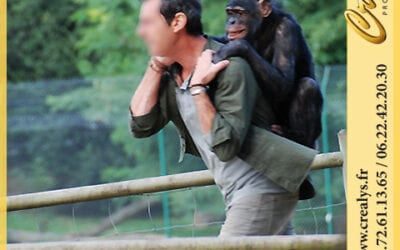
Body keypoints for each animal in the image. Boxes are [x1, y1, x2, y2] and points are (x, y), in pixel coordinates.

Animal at [212, 0, 322, 199]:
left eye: (239, 13)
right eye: (230, 13)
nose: (231, 21)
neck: (262, 29)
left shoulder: (287, 30)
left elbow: (284, 81)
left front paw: (237, 47)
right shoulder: (225, 36)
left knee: (307, 86)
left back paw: (296, 138)